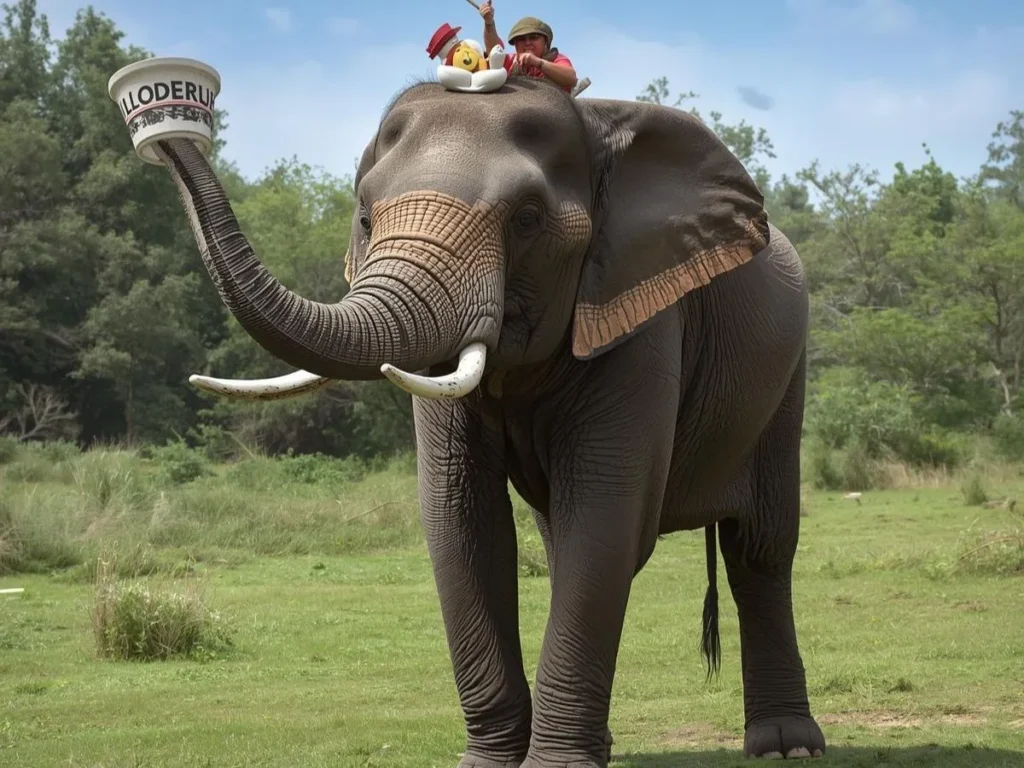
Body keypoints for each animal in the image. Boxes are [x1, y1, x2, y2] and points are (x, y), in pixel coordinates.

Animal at [151, 75, 825, 766]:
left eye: (527, 220)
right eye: (365, 217)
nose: (169, 135)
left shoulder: (639, 316)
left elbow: (604, 511)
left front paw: (555, 766)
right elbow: (463, 518)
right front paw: (495, 764)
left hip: (788, 374)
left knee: (759, 549)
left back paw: (786, 747)